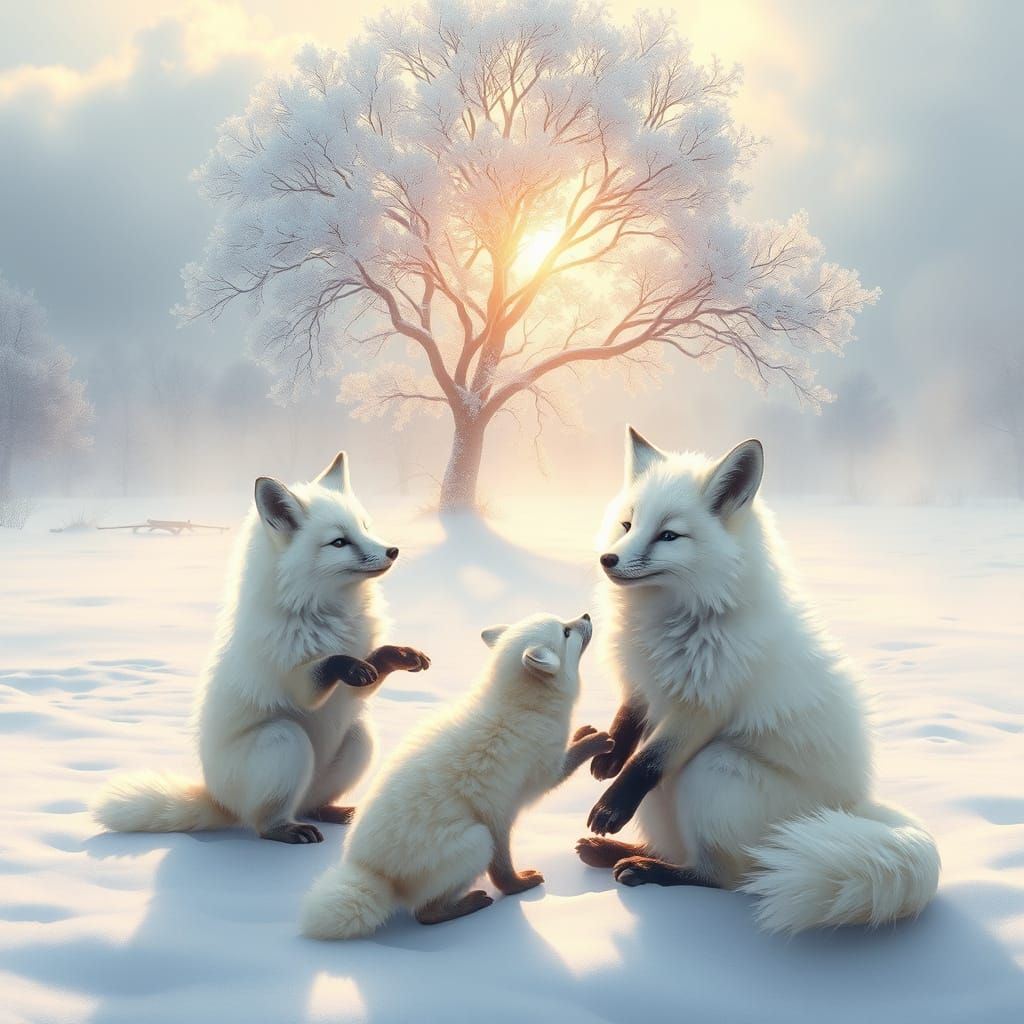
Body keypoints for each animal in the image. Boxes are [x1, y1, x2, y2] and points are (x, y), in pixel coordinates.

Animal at [93, 451, 429, 845]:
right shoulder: (297, 684)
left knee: (314, 804)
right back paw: (286, 829)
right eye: (339, 542)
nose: (392, 551)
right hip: (285, 740)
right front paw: (347, 663)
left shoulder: (354, 694)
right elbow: (326, 666)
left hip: (360, 737)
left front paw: (403, 655)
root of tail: (218, 799)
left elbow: (374, 664)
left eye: (365, 527)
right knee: (263, 823)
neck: (327, 616)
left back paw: (334, 812)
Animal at [300, 612, 612, 939]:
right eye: (566, 632)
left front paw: (583, 731)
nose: (587, 615)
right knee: (425, 914)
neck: (521, 706)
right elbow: (503, 872)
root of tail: (373, 871)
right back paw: (467, 904)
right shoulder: (524, 792)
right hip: (477, 839)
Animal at [576, 426, 940, 933]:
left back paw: (648, 869)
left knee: (723, 877)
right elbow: (628, 723)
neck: (673, 618)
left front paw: (611, 803)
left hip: (711, 771)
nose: (608, 560)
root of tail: (852, 809)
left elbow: (646, 764)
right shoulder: (644, 684)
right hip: (666, 802)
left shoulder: (703, 707)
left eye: (669, 535)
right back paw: (616, 852)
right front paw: (609, 756)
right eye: (628, 525)